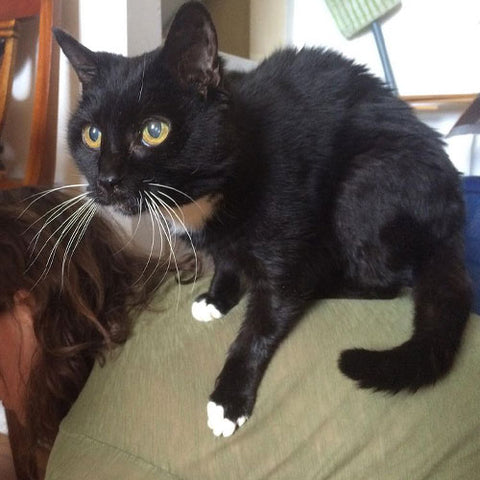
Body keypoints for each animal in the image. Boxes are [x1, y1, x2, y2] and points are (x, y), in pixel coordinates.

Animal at [54, 1, 470, 436]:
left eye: (154, 130)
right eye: (92, 135)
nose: (106, 180)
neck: (203, 199)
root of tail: (454, 213)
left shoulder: (286, 242)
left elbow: (264, 319)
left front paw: (229, 398)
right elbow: (225, 262)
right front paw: (217, 298)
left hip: (367, 181)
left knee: (387, 281)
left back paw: (320, 284)